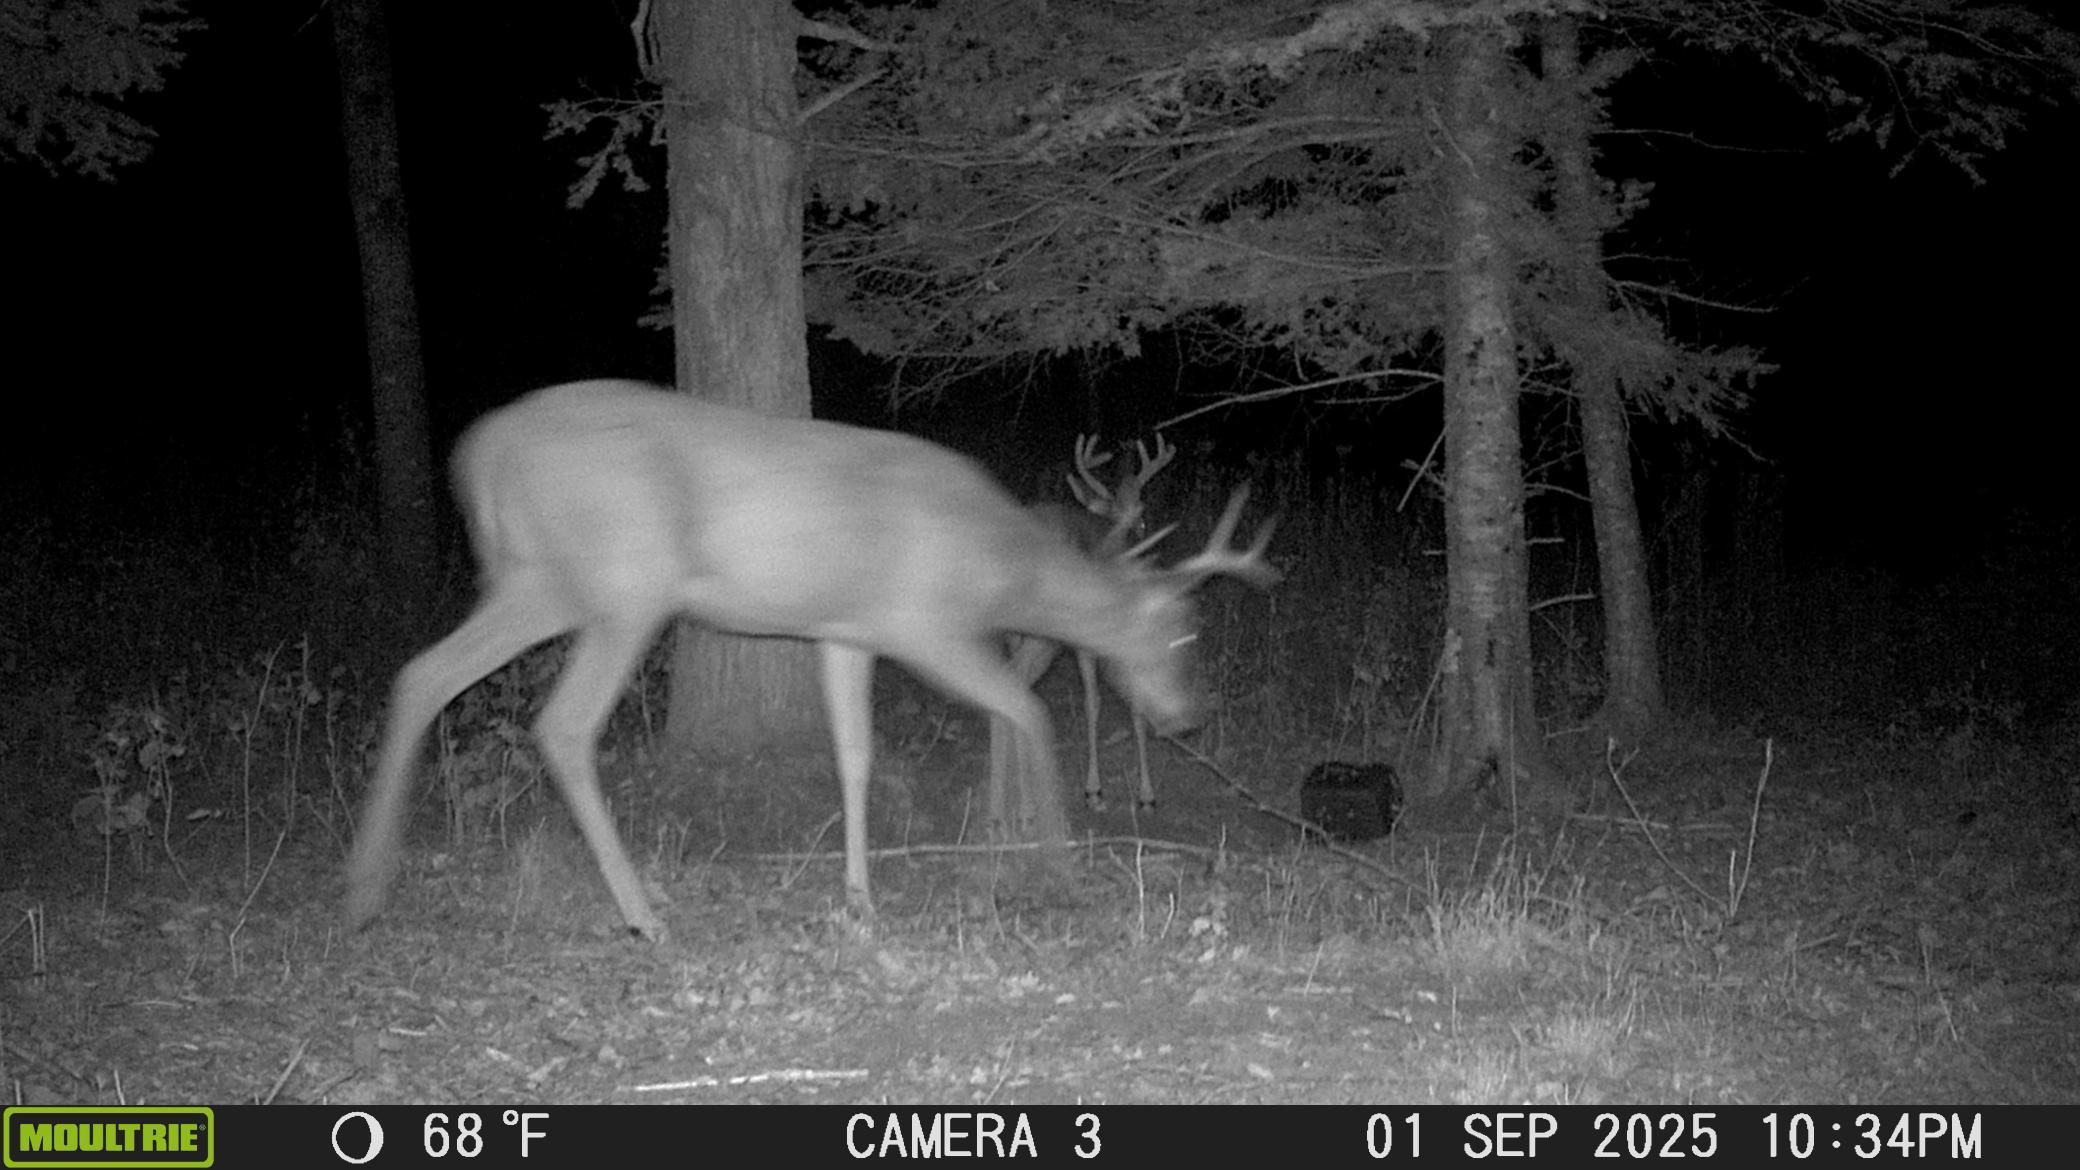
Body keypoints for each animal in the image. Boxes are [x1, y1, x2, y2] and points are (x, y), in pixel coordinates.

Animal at [343, 380, 1276, 943]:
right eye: (1182, 630)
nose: (1190, 715)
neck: (1002, 559)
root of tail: (478, 454)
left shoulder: (846, 631)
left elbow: (855, 756)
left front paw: (859, 897)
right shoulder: (923, 622)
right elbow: (1028, 709)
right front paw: (1057, 867)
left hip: (541, 581)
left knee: (421, 673)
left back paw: (366, 882)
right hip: (624, 583)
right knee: (562, 725)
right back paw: (644, 913)